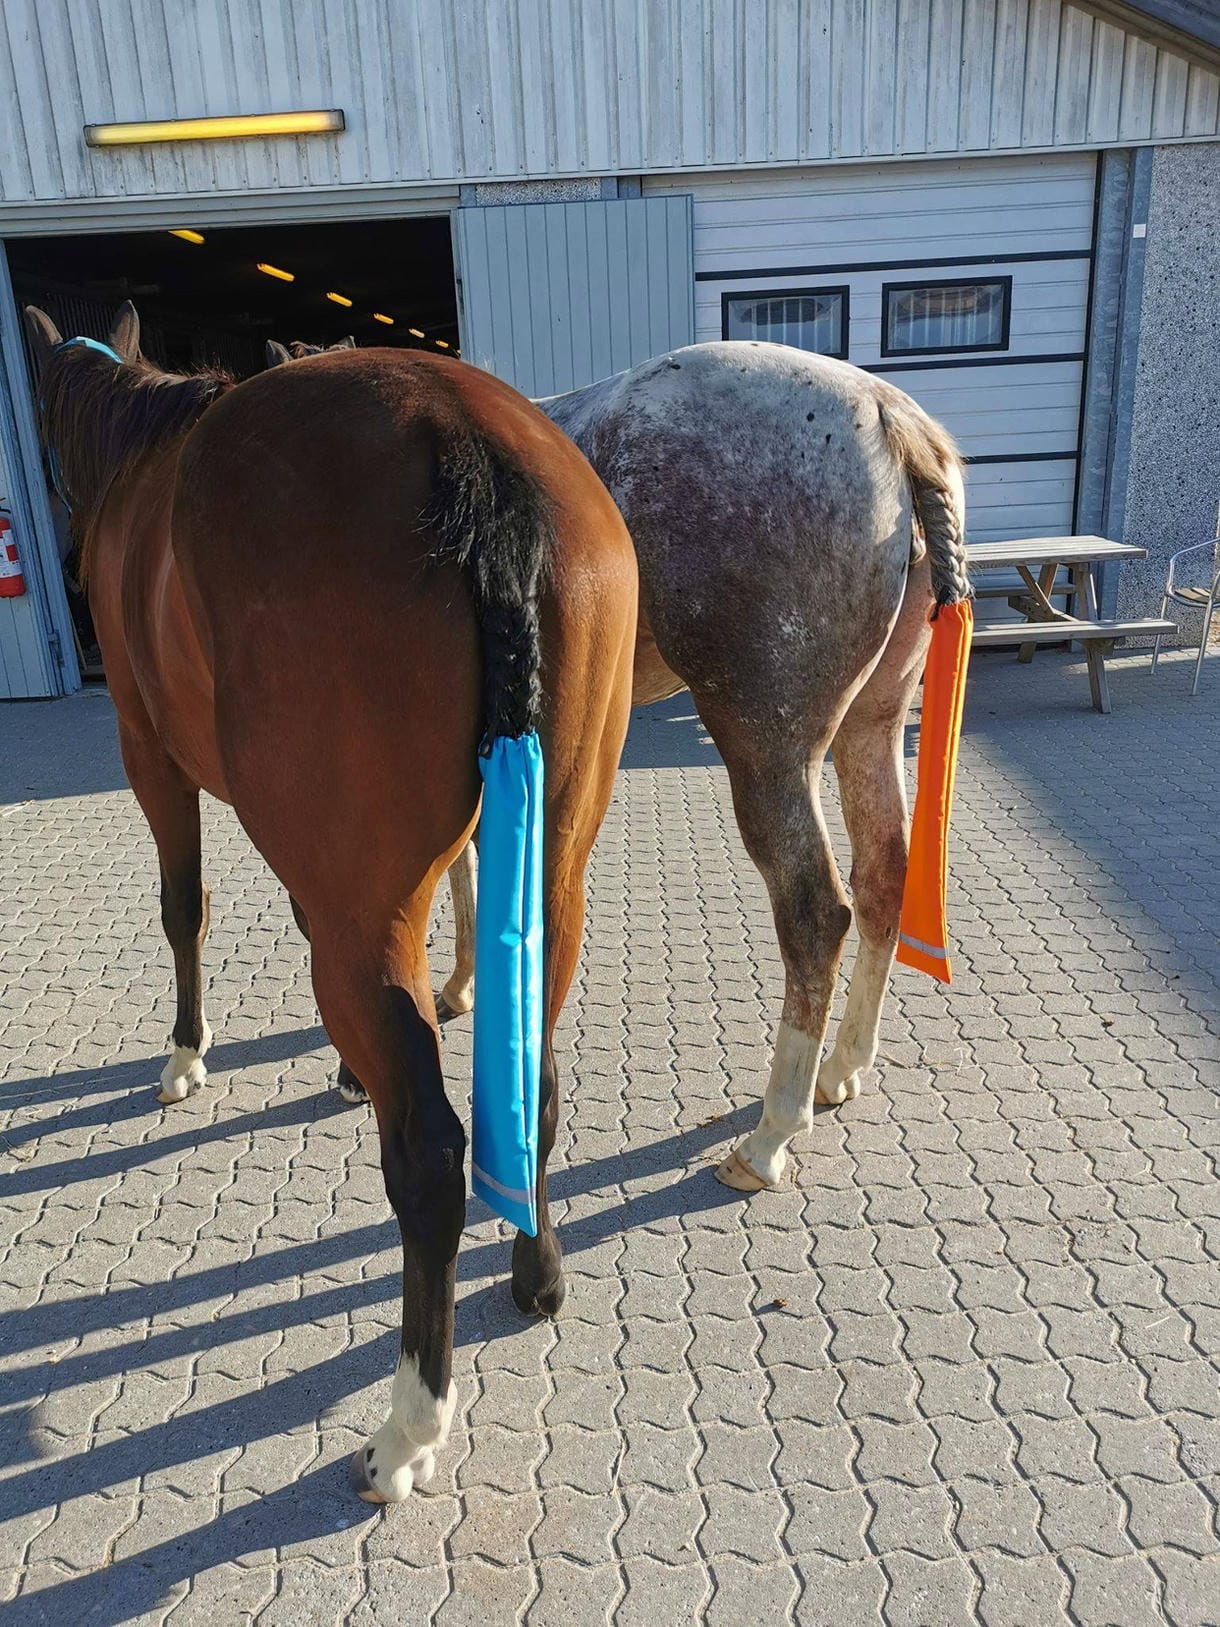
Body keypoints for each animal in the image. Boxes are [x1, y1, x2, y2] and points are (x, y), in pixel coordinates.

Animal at [26, 302, 638, 1502]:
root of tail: (462, 442)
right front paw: (351, 1073)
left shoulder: (149, 756)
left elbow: (183, 905)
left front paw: (186, 1053)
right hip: (557, 876)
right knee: (534, 1089)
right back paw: (535, 1274)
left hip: (363, 907)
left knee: (431, 1160)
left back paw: (409, 1424)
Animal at [424, 342, 971, 1192]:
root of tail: (889, 417)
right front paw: (463, 982)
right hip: (870, 726)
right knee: (884, 876)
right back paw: (841, 1068)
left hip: (769, 749)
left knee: (818, 913)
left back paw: (771, 1133)